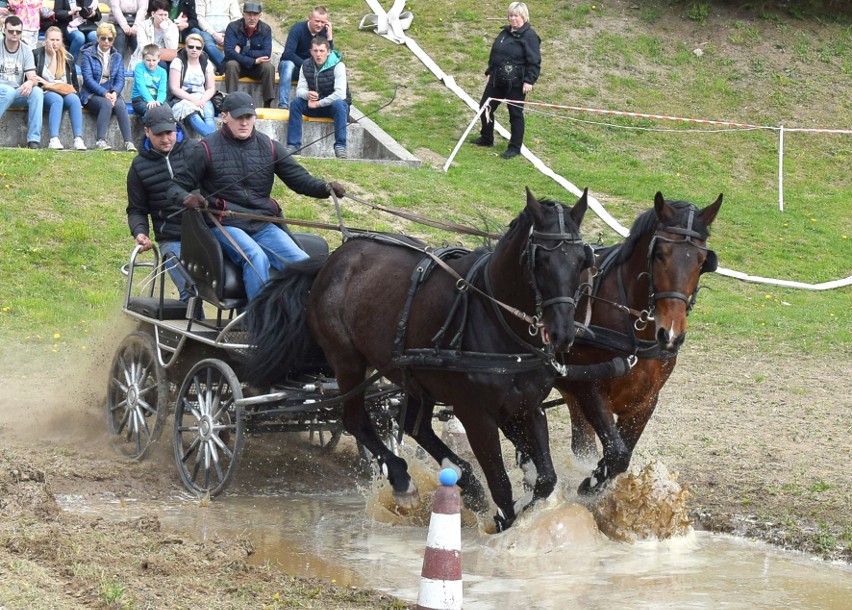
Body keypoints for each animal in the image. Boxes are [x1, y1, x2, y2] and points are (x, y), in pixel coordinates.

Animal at [246, 188, 592, 528]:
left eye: (581, 261)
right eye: (540, 259)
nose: (563, 333)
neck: (496, 319)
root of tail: (334, 259)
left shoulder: (528, 407)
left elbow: (545, 479)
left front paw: (523, 503)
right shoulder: (476, 416)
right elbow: (502, 487)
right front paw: (503, 518)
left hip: (412, 375)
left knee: (417, 426)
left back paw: (467, 483)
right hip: (347, 361)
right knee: (356, 420)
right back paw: (403, 482)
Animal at [556, 192, 724, 492]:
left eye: (702, 260)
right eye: (659, 254)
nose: (671, 334)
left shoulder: (644, 401)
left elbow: (620, 455)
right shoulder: (589, 388)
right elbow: (617, 454)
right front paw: (589, 484)